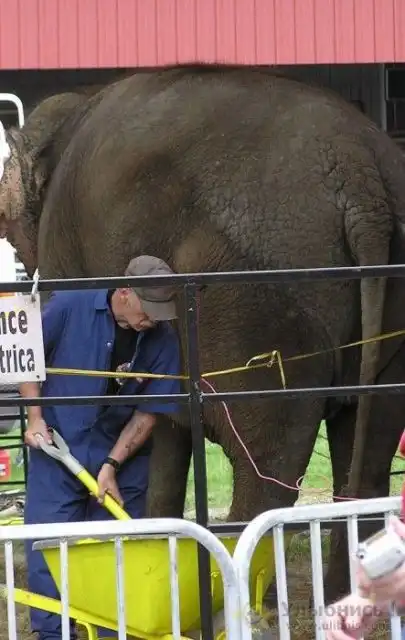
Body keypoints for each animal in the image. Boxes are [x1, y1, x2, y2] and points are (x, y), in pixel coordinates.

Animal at [1, 63, 405, 608]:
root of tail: (362, 181)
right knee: (368, 449)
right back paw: (343, 599)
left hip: (256, 298)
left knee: (267, 464)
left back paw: (238, 596)